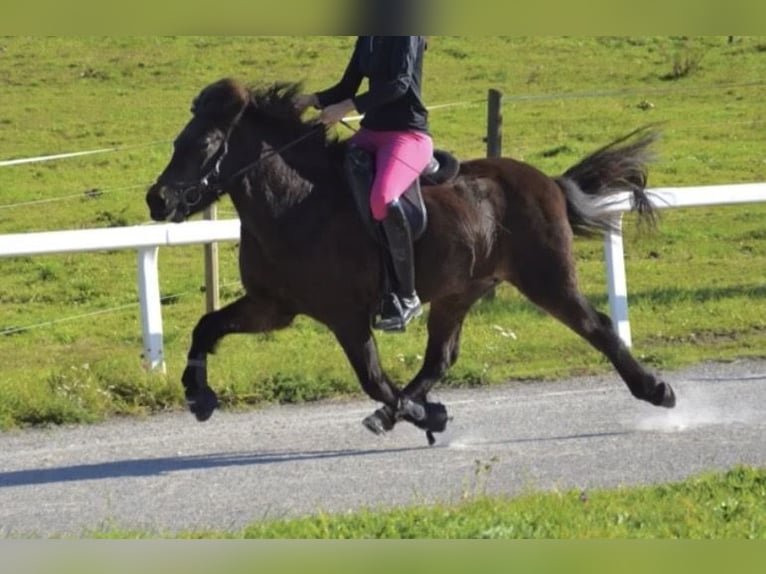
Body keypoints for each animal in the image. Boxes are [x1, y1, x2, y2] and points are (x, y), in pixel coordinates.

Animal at [145, 78, 676, 444]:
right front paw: (197, 394)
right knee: (440, 357)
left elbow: (373, 378)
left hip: (547, 280)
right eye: (176, 142)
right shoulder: (271, 307)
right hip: (460, 291)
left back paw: (657, 391)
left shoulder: (345, 316)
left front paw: (426, 415)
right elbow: (206, 326)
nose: (157, 200)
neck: (294, 203)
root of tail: (548, 181)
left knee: (598, 327)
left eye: (203, 145)